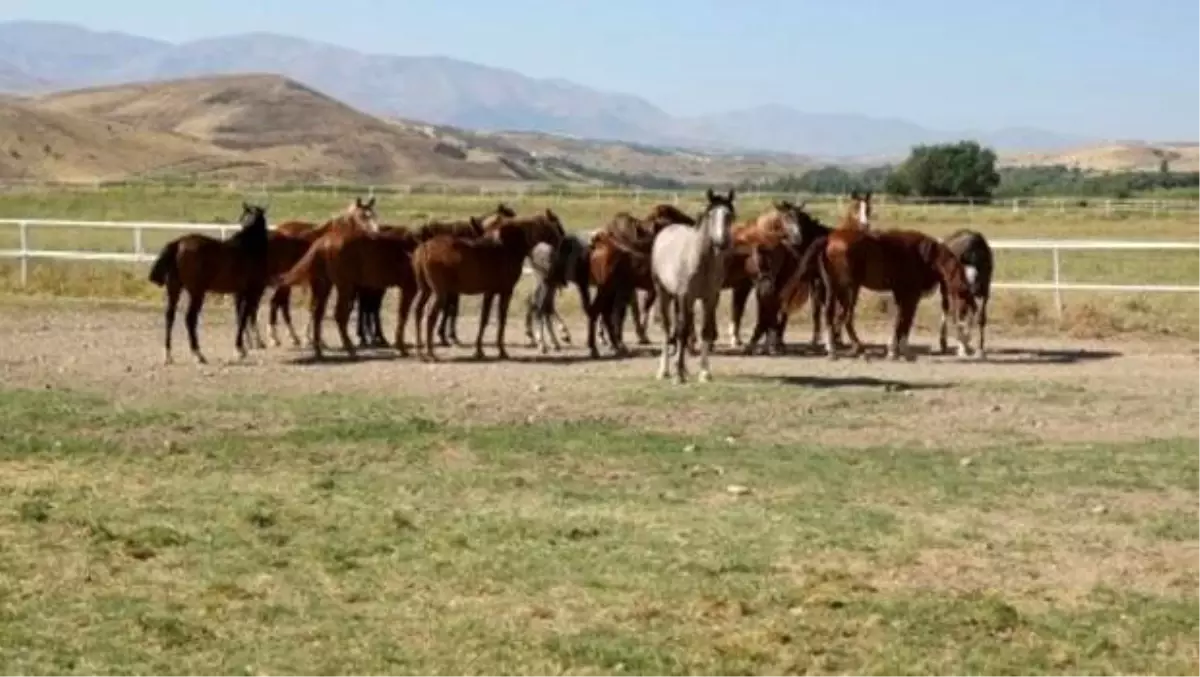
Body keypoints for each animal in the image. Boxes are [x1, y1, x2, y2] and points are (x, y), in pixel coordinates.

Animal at [148, 200, 271, 364]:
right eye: (243, 216)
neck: (248, 248)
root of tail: (179, 243)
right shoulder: (250, 292)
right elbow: (244, 317)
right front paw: (240, 350)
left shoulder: (239, 293)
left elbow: (240, 317)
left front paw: (243, 347)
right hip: (197, 292)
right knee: (190, 319)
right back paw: (198, 354)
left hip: (174, 289)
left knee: (170, 317)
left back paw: (168, 355)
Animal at [652, 187, 734, 384]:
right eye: (711, 214)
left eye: (729, 215)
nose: (721, 242)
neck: (701, 260)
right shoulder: (685, 296)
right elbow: (681, 332)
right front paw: (678, 375)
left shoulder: (710, 299)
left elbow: (705, 332)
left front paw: (704, 373)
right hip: (664, 293)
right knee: (668, 329)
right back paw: (664, 370)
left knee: (684, 327)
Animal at [796, 226, 974, 362]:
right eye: (965, 305)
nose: (968, 345)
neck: (925, 256)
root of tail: (829, 239)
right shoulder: (911, 295)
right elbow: (905, 321)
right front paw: (901, 351)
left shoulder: (900, 294)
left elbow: (899, 320)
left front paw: (894, 350)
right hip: (850, 289)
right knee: (845, 318)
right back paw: (855, 349)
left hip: (834, 288)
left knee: (832, 315)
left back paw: (836, 349)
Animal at [936, 230, 993, 360]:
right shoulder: (959, 293)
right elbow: (959, 317)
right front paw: (962, 348)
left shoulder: (984, 292)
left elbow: (980, 318)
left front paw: (979, 349)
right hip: (947, 290)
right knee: (948, 310)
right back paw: (944, 343)